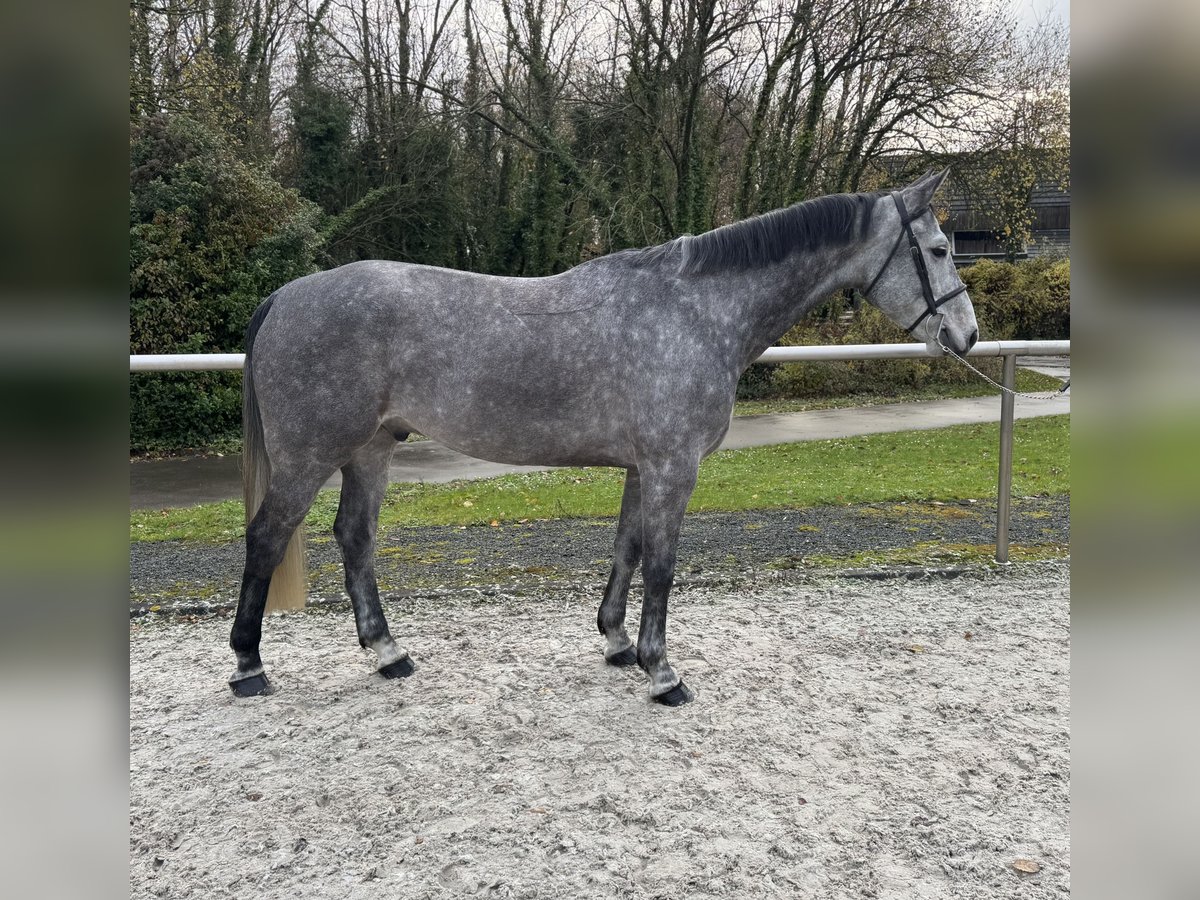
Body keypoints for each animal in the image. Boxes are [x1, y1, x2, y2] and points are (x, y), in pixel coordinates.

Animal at [226, 169, 974, 705]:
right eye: (939, 249)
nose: (965, 334)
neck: (696, 311)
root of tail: (287, 295)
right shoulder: (674, 467)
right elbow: (664, 565)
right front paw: (663, 673)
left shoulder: (643, 466)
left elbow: (628, 549)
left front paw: (617, 644)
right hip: (310, 457)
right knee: (266, 538)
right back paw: (248, 665)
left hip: (372, 450)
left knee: (355, 537)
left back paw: (389, 654)